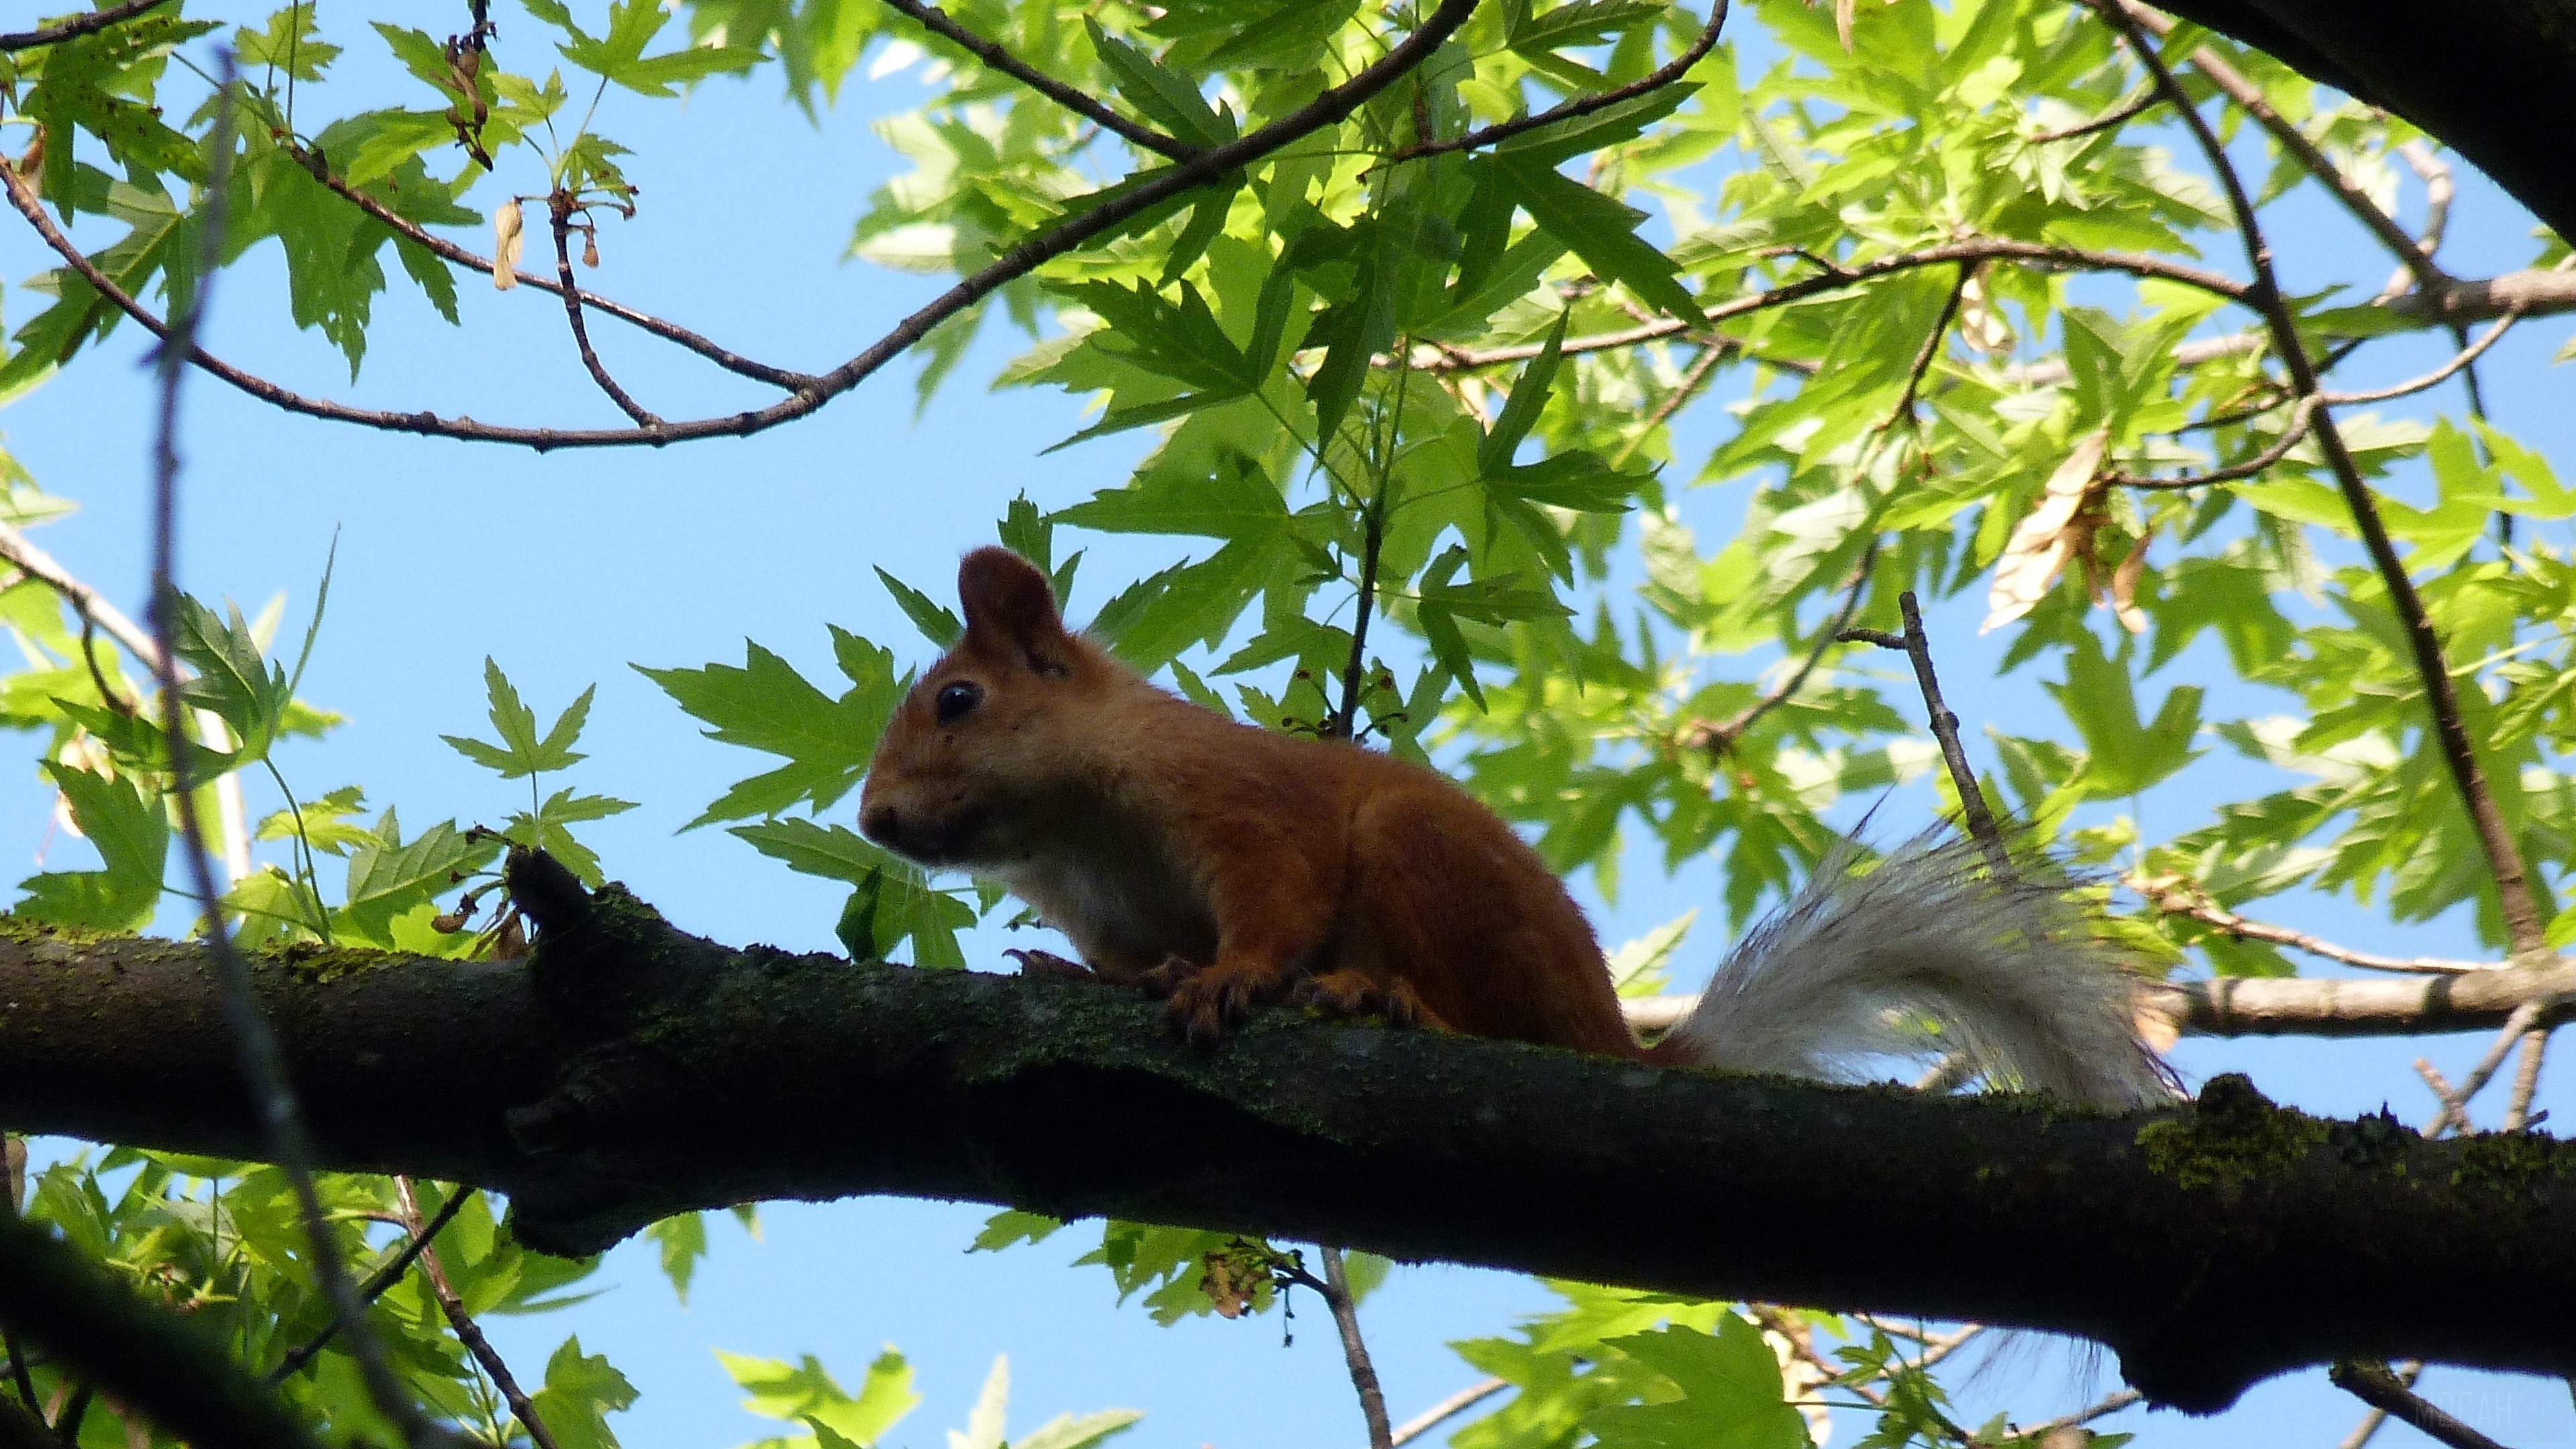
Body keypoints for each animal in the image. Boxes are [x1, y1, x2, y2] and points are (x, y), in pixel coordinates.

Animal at [858, 546, 2169, 1108]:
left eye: (958, 701)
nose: (871, 819)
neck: (1072, 834)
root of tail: (1615, 1044)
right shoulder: (1108, 911)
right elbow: (1122, 961)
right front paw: (1060, 970)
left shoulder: (1244, 805)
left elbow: (1276, 901)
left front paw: (1229, 980)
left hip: (1425, 867)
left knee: (1494, 1028)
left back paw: (1382, 999)